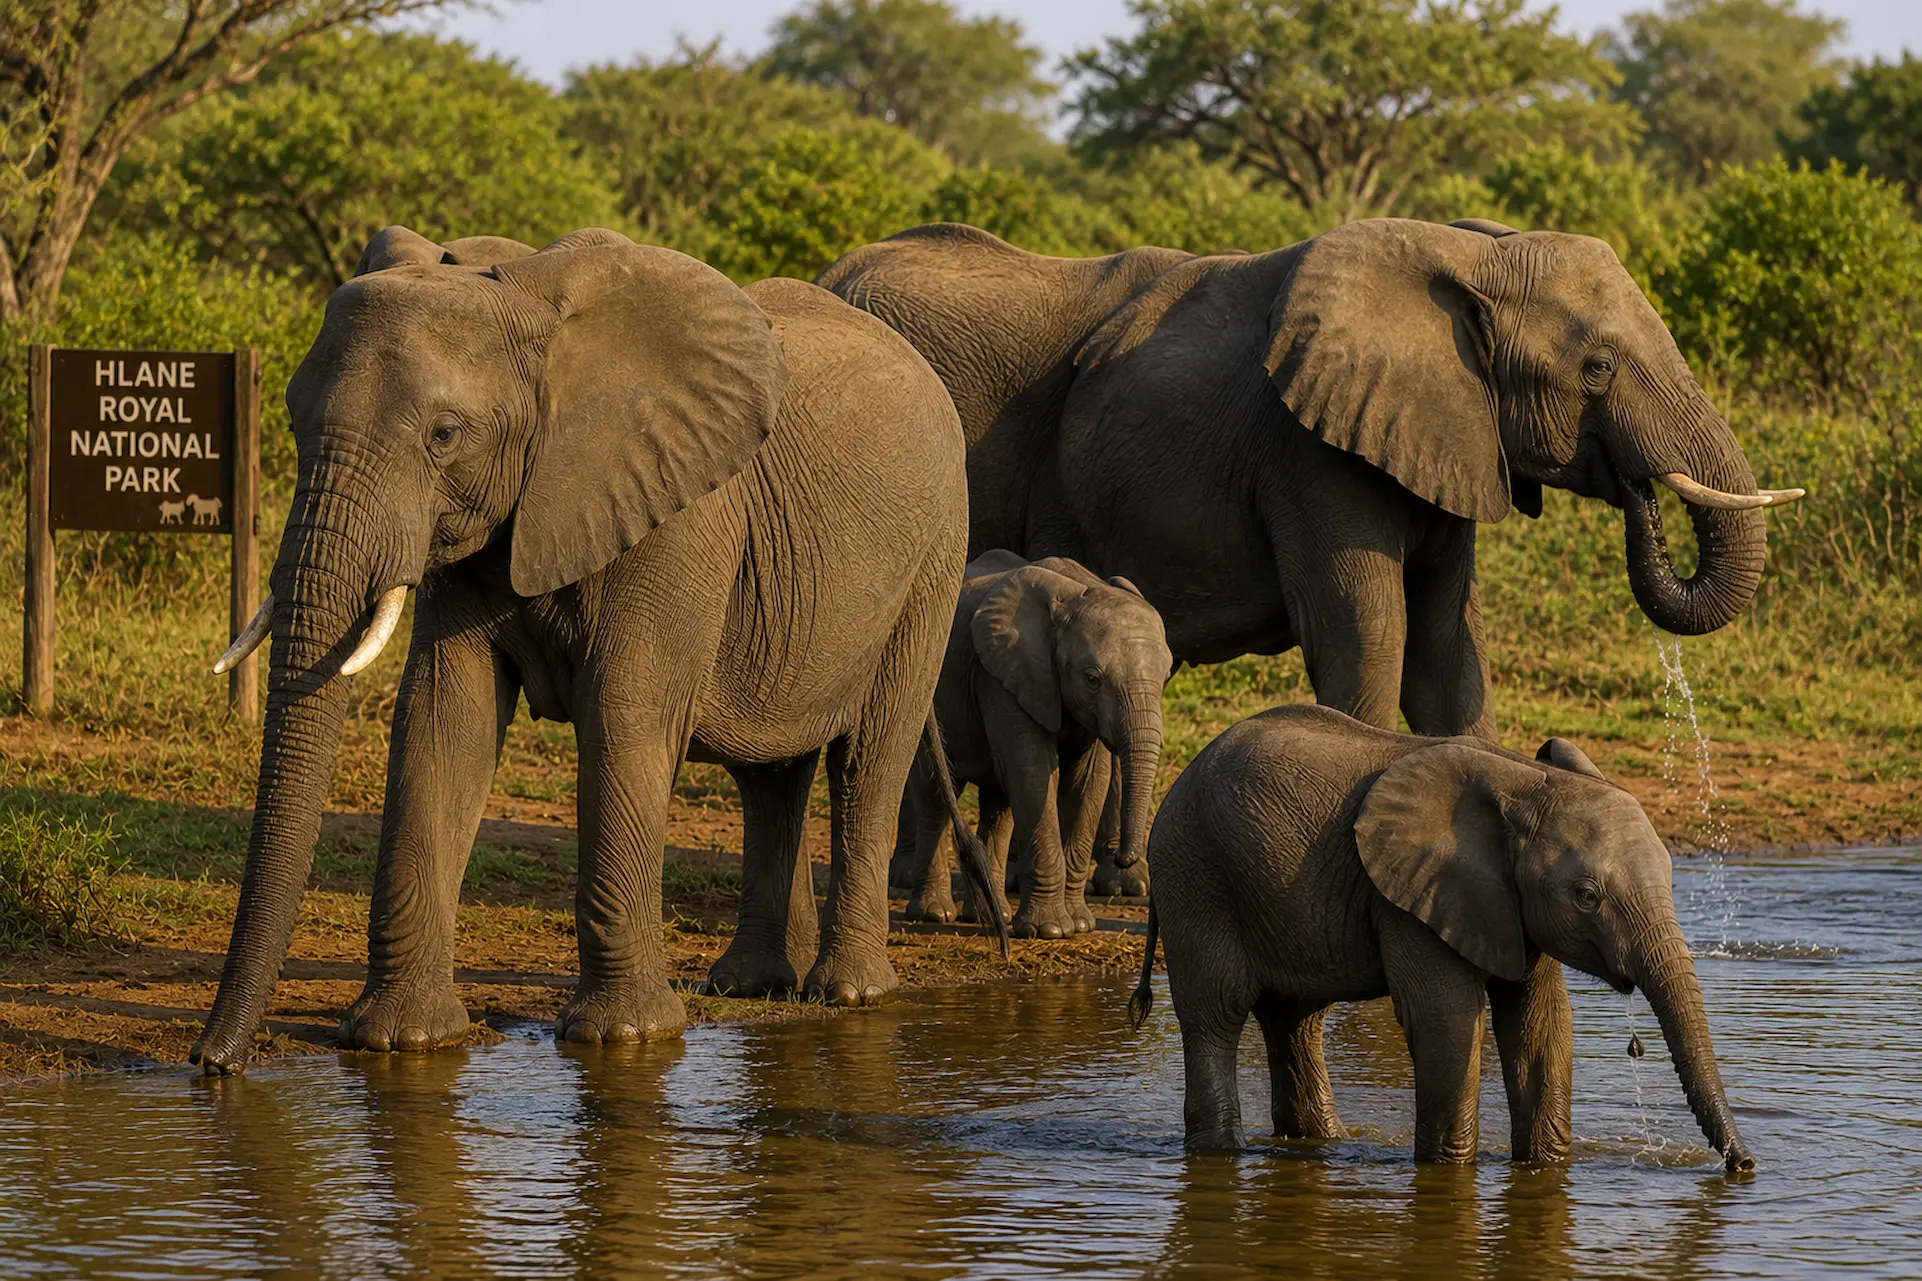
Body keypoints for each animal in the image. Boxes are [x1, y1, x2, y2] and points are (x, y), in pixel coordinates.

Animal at [190, 225, 1002, 1075]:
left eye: (444, 436)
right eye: (289, 418)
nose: (213, 1061)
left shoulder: (677, 511)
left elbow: (623, 714)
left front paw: (624, 1038)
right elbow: (444, 719)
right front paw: (401, 1041)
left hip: (936, 553)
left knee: (870, 755)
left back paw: (849, 993)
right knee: (770, 774)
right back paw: (751, 986)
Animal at [818, 219, 1803, 740]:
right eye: (1596, 369)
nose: (1643, 491)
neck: (1470, 255)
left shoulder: (1441, 436)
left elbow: (1445, 646)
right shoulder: (1309, 454)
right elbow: (1368, 632)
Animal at [901, 551, 1172, 938]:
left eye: (1165, 677)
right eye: (1092, 679)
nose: (1124, 858)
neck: (1074, 595)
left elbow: (1087, 782)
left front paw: (1080, 924)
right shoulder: (1003, 676)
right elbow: (1032, 773)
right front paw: (1050, 930)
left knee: (998, 806)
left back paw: (988, 915)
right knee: (934, 796)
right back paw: (934, 914)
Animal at [1130, 702, 1754, 1174]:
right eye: (1586, 896)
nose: (1744, 1165)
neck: (1524, 784)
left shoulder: (1507, 905)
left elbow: (1541, 1021)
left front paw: (1545, 1167)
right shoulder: (1410, 896)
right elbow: (1449, 1018)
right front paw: (1448, 1171)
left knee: (1295, 1018)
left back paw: (1322, 1142)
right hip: (1196, 876)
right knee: (1217, 1012)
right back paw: (1219, 1153)